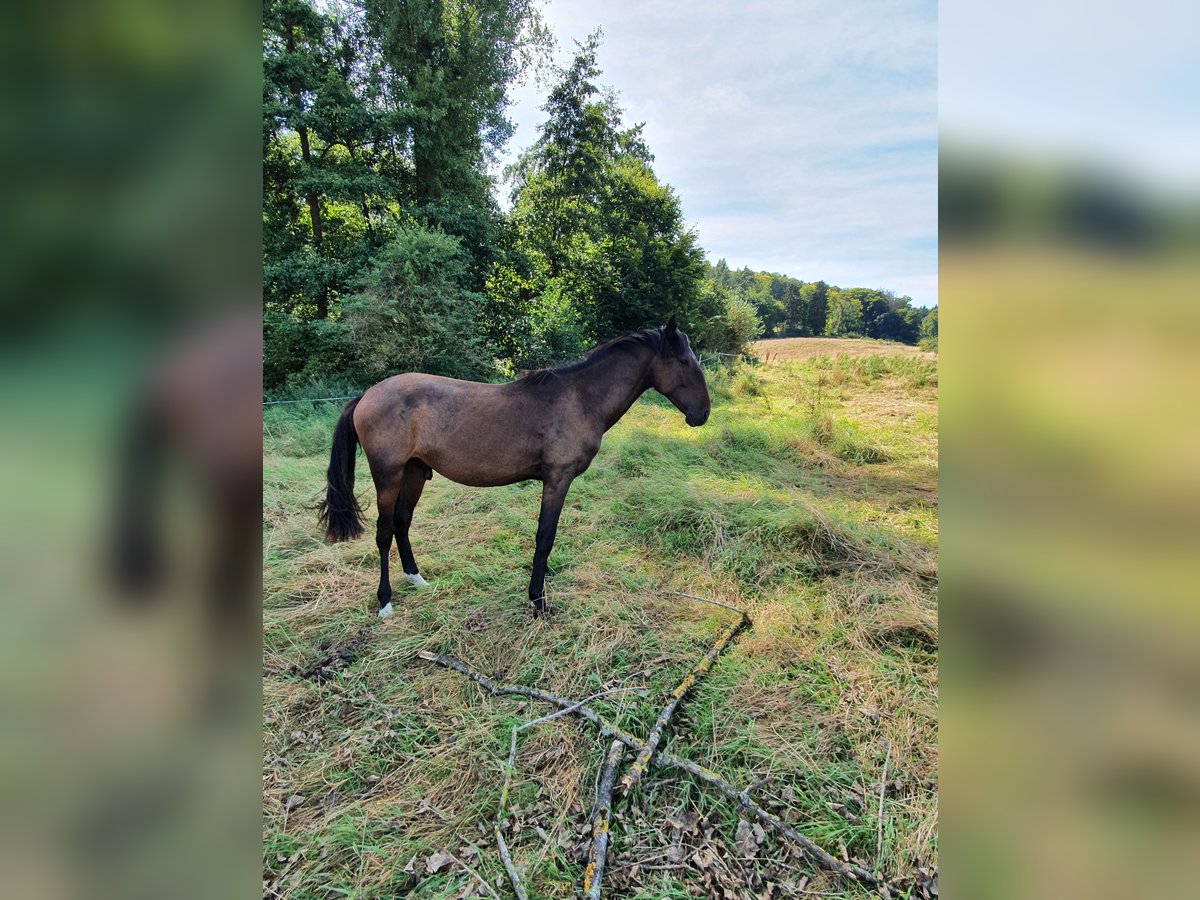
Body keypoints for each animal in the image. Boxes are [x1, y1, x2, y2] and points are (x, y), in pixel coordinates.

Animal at [319, 316, 710, 619]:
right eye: (685, 362)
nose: (702, 414)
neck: (580, 398)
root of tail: (366, 396)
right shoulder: (557, 479)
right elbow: (545, 536)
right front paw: (538, 600)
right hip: (389, 476)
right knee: (384, 532)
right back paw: (385, 602)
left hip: (415, 472)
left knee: (402, 523)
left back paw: (416, 579)